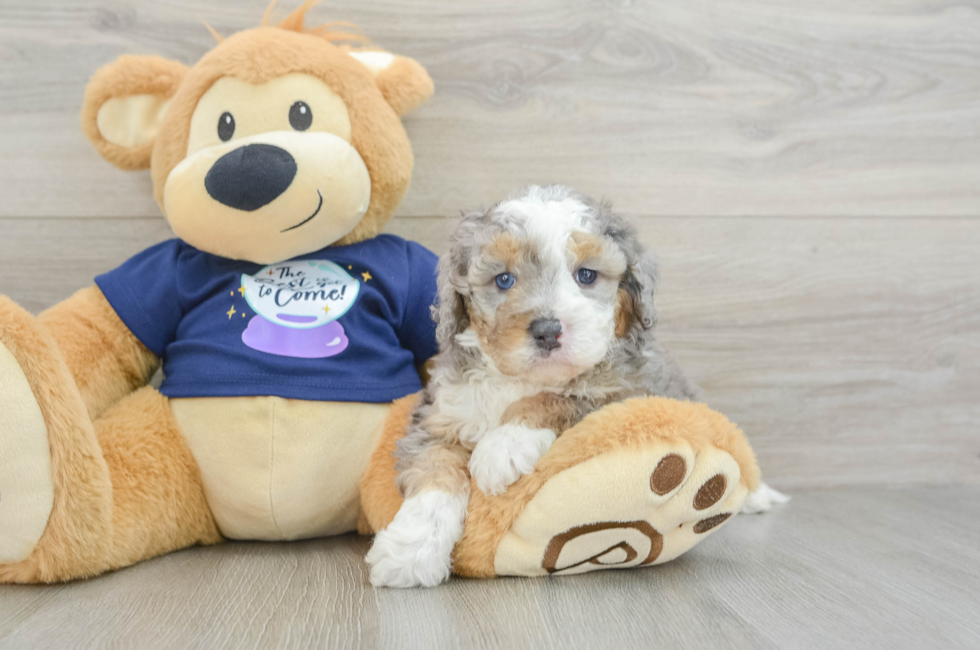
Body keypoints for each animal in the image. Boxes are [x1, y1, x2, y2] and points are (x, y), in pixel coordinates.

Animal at [364, 184, 784, 588]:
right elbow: (433, 478)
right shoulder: (439, 419)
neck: (522, 380)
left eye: (586, 275)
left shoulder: (629, 391)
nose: (548, 330)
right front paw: (409, 553)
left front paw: (504, 446)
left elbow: (559, 398)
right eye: (504, 279)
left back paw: (757, 495)